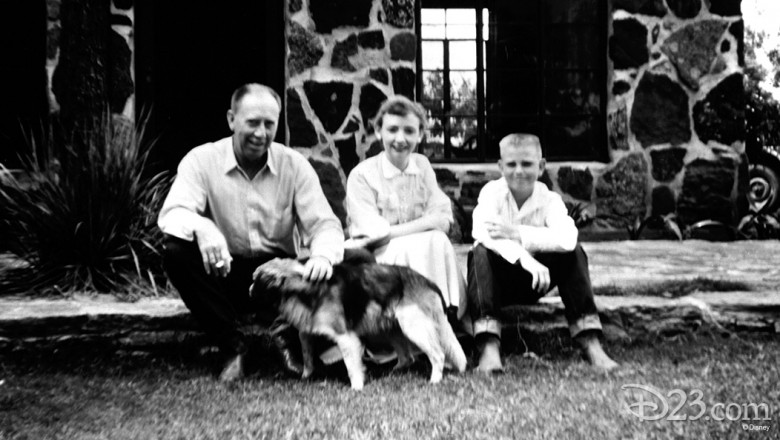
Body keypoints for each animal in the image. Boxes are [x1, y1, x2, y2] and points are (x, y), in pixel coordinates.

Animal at [253, 258, 466, 388]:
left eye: (255, 280)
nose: (249, 290)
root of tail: (428, 283)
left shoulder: (345, 337)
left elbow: (351, 365)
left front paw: (357, 387)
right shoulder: (306, 332)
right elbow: (307, 357)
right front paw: (306, 375)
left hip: (413, 326)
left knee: (438, 354)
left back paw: (435, 379)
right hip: (390, 329)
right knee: (407, 358)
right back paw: (394, 371)